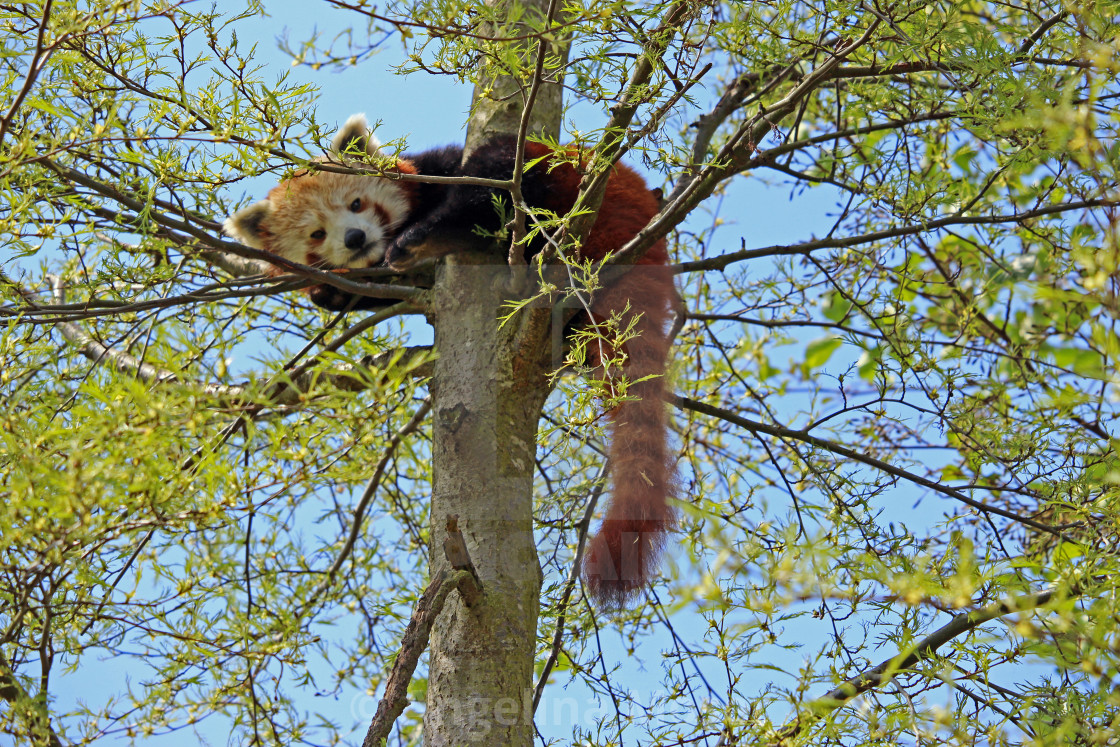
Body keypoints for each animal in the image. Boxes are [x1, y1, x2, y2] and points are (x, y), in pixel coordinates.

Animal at [220, 117, 672, 609]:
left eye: (356, 203)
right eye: (317, 234)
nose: (356, 239)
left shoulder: (439, 168)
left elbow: (479, 180)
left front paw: (414, 238)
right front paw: (331, 291)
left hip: (581, 188)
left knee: (503, 176)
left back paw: (434, 236)